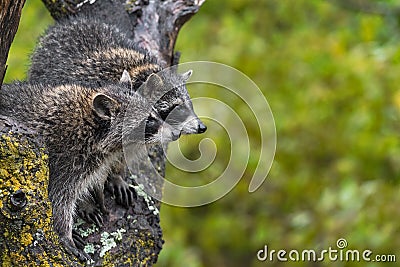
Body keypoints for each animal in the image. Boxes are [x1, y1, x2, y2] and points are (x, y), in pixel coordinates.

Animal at [0, 80, 177, 262]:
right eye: (149, 120)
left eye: (155, 115)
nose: (176, 132)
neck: (91, 128)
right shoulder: (64, 160)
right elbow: (59, 198)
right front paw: (65, 234)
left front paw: (97, 193)